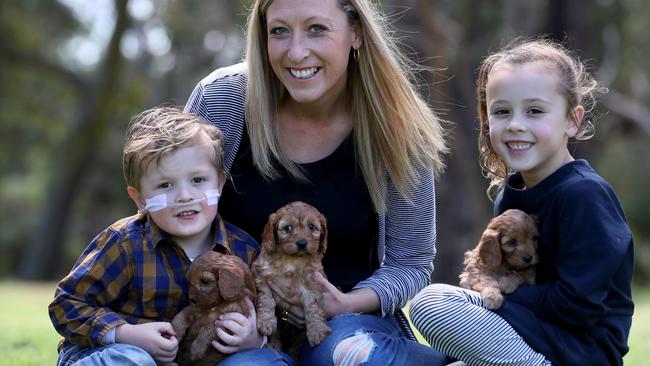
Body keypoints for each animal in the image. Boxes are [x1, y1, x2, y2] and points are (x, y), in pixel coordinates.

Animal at [251, 200, 332, 358]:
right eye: (287, 228)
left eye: (311, 227)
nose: (301, 243)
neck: (292, 259)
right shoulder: (262, 277)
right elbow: (266, 301)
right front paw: (266, 322)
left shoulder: (313, 283)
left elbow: (313, 308)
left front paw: (317, 330)